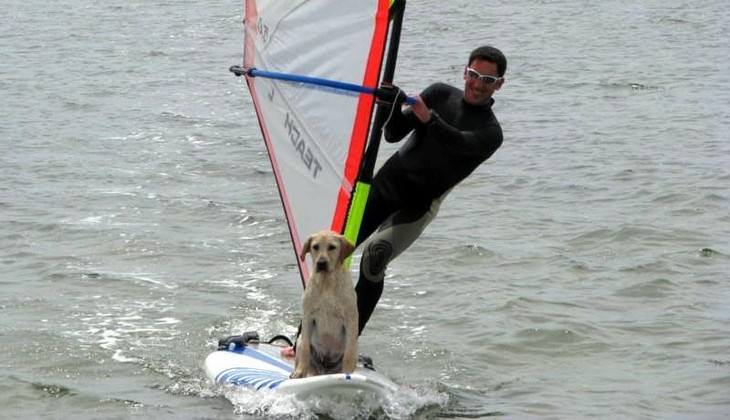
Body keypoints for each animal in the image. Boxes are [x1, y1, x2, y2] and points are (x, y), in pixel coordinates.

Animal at [292, 231, 356, 378]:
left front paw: (348, 373)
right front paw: (300, 372)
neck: (327, 282)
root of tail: (324, 369)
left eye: (332, 247)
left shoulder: (350, 319)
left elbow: (349, 353)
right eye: (315, 247)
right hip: (300, 340)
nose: (321, 263)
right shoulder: (308, 316)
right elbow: (305, 350)